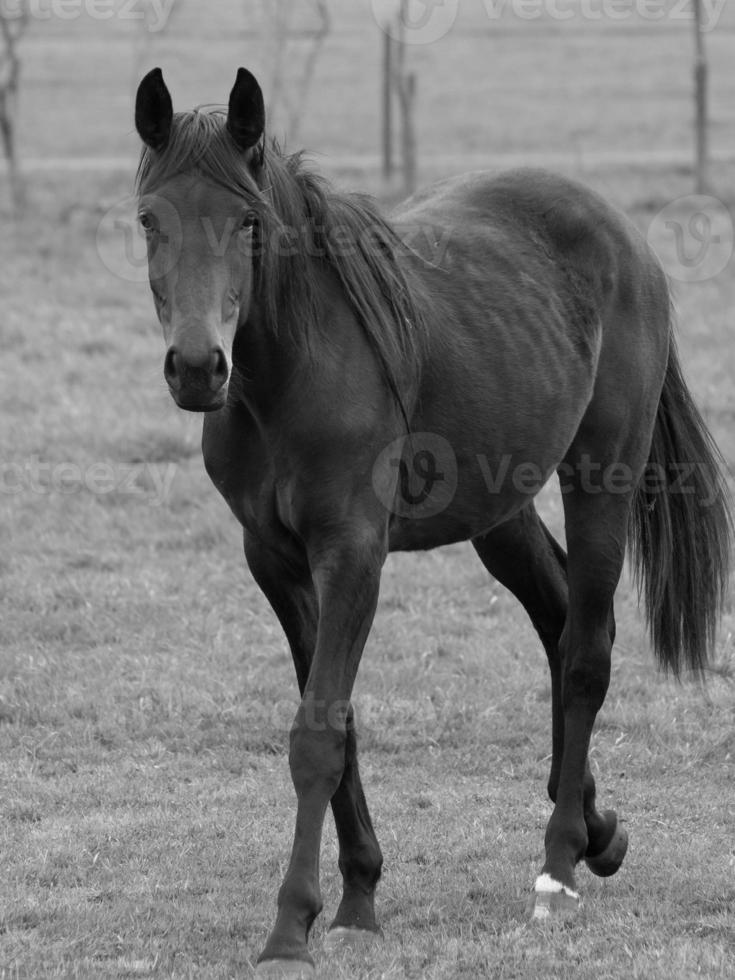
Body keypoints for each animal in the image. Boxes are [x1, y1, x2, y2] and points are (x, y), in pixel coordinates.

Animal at [135, 69, 732, 980]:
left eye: (247, 220)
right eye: (148, 220)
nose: (199, 367)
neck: (289, 374)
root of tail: (619, 231)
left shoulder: (352, 553)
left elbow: (316, 735)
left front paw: (290, 925)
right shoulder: (274, 561)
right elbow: (336, 722)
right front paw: (358, 896)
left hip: (601, 477)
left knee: (586, 654)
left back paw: (559, 864)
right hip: (501, 510)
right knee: (558, 621)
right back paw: (597, 830)